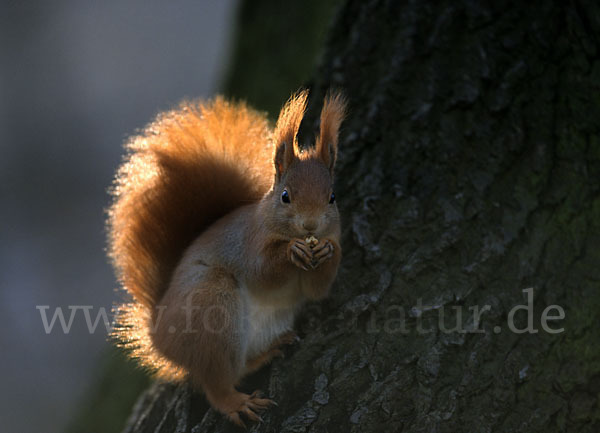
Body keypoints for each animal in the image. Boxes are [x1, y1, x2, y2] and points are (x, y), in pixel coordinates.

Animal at [105, 88, 344, 426]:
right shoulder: (248, 245)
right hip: (213, 309)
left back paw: (269, 351)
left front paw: (327, 251)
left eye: (332, 197)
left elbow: (316, 290)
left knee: (240, 368)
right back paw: (236, 403)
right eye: (285, 196)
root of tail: (158, 334)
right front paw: (291, 251)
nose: (310, 226)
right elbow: (264, 272)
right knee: (216, 383)